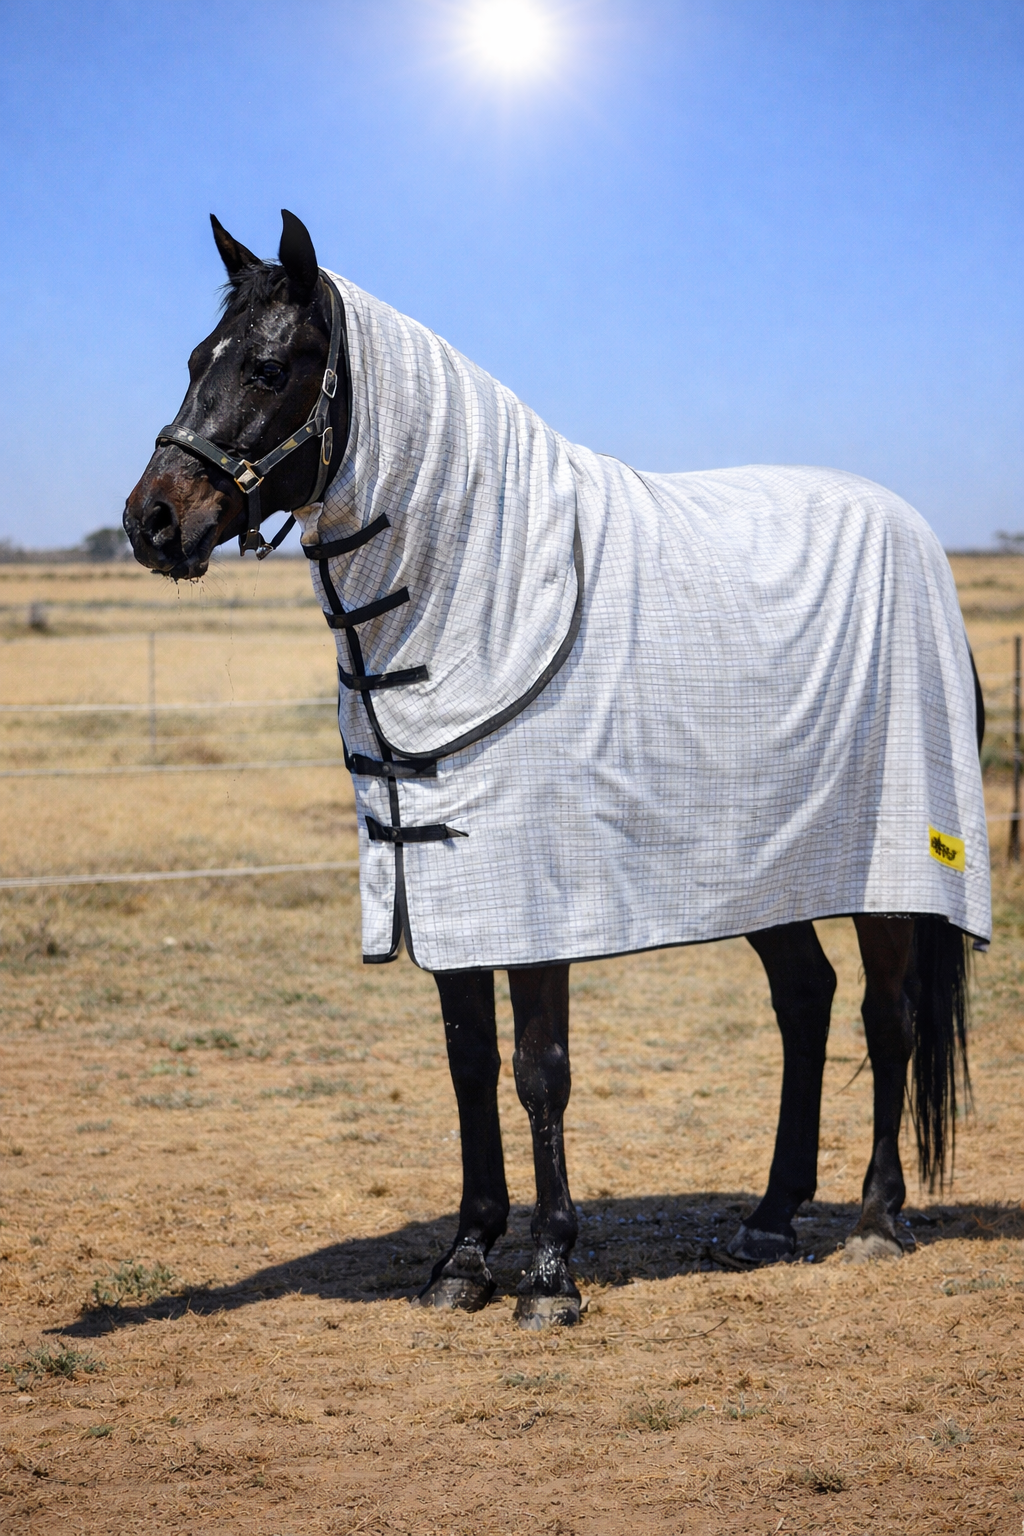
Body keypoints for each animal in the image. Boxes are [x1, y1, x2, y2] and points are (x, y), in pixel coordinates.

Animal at [124, 210, 987, 1329]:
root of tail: (920, 545)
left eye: (267, 368)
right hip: (766, 868)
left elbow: (540, 1070)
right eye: (197, 361)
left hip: (886, 870)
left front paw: (548, 1275)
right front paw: (462, 1260)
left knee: (890, 1018)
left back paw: (878, 1220)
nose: (151, 521)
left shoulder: (534, 898)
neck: (474, 589)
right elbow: (468, 1067)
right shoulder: (445, 887)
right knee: (806, 1001)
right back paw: (765, 1221)